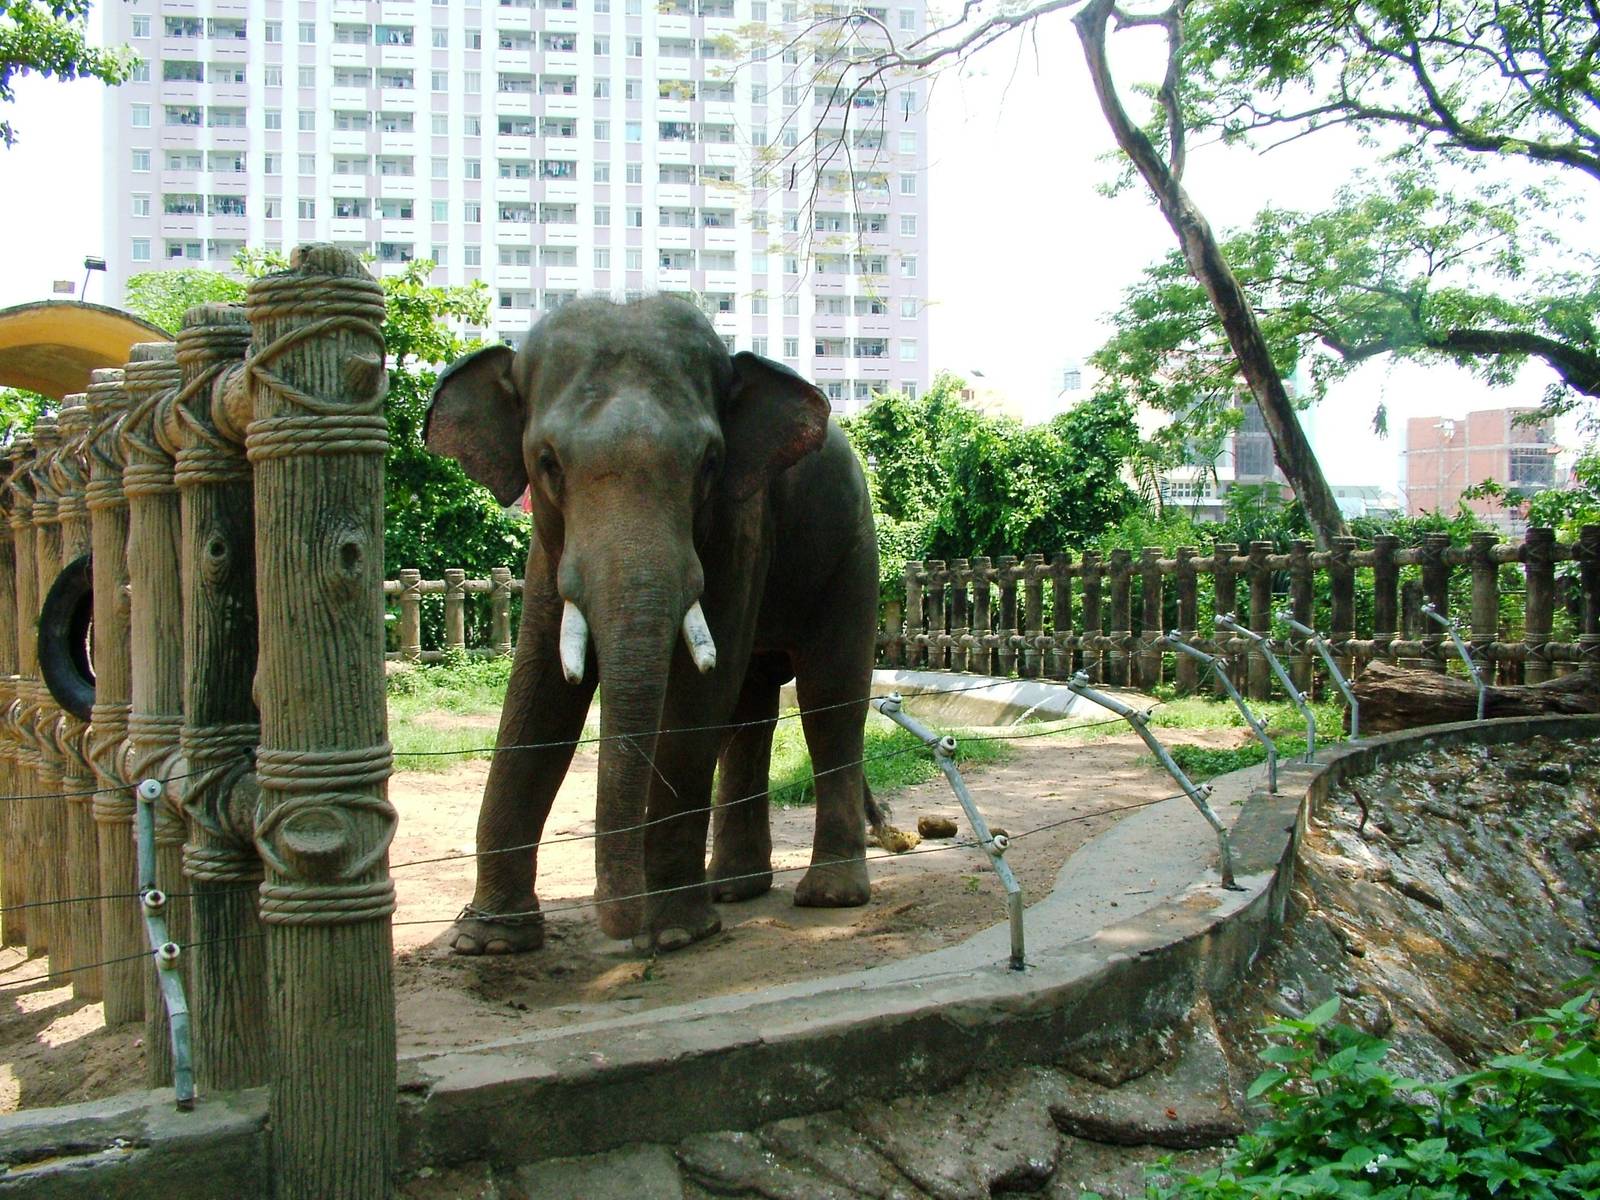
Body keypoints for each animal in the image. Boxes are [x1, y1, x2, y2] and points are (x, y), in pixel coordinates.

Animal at [425, 295, 881, 954]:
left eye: (710, 463)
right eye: (547, 463)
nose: (621, 923)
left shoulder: (741, 520)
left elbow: (695, 699)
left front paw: (675, 933)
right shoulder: (548, 546)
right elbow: (538, 693)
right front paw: (489, 941)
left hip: (851, 550)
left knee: (830, 693)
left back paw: (829, 896)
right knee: (751, 709)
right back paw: (732, 888)